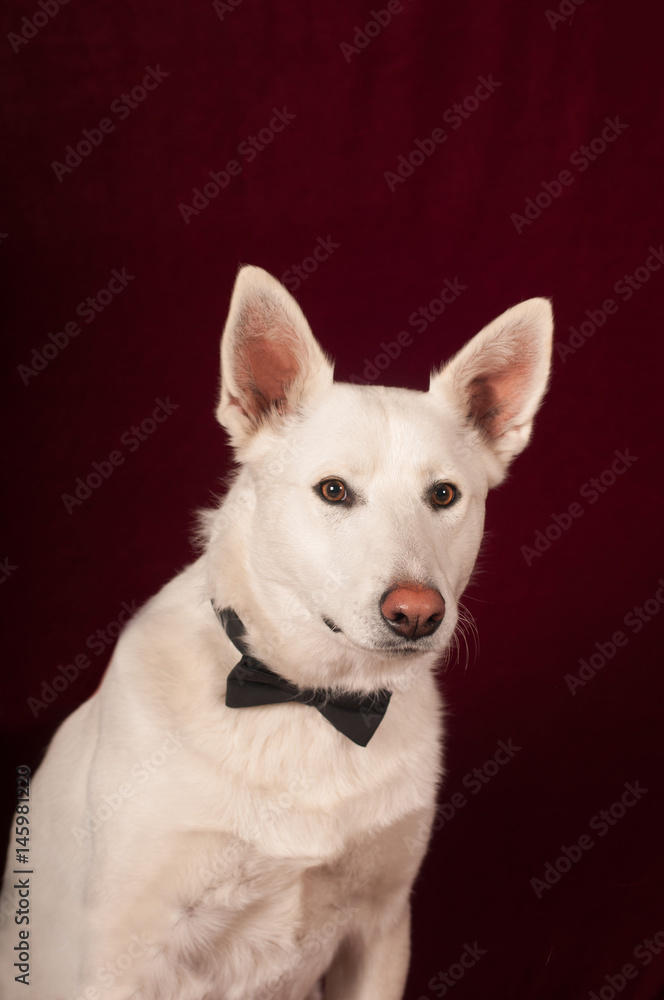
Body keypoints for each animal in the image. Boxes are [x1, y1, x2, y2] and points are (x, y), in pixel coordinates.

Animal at [0, 268, 548, 1000]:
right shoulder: (124, 956)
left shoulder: (379, 929)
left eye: (444, 496)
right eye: (334, 491)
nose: (417, 612)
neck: (305, 698)